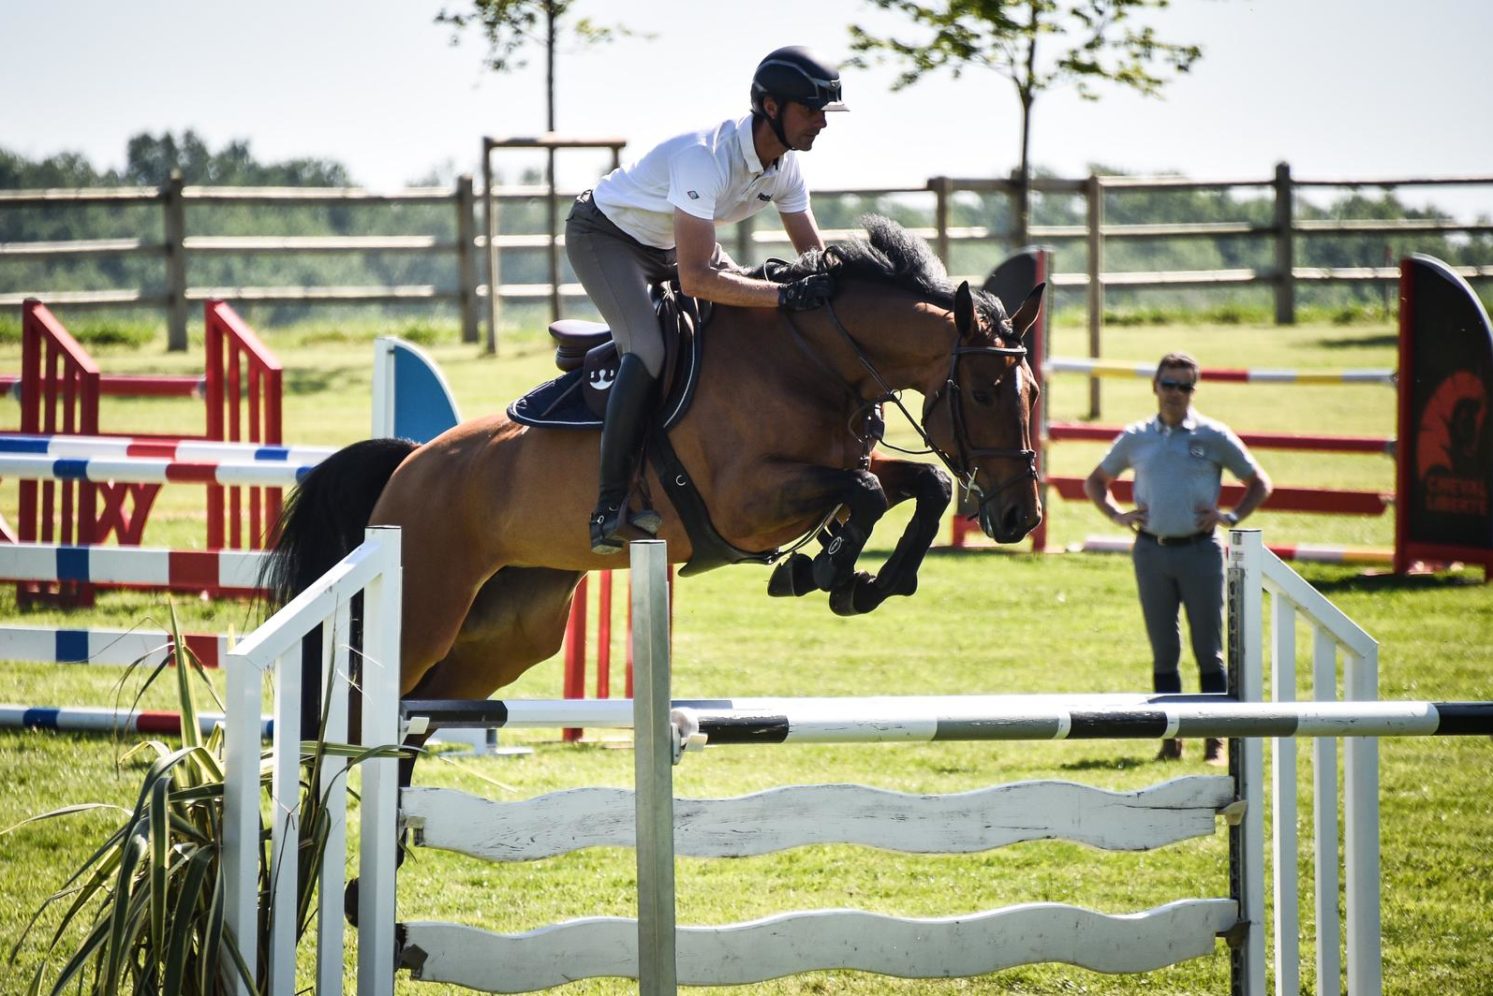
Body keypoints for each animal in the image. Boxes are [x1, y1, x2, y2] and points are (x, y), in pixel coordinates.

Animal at [265, 216, 1039, 716]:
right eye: (982, 392)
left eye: (1031, 392)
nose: (1017, 517)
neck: (811, 359)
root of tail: (408, 465)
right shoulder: (745, 503)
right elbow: (868, 491)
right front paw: (824, 571)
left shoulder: (837, 463)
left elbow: (920, 484)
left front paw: (869, 581)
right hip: (422, 611)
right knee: (362, 711)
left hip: (507, 632)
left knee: (420, 717)